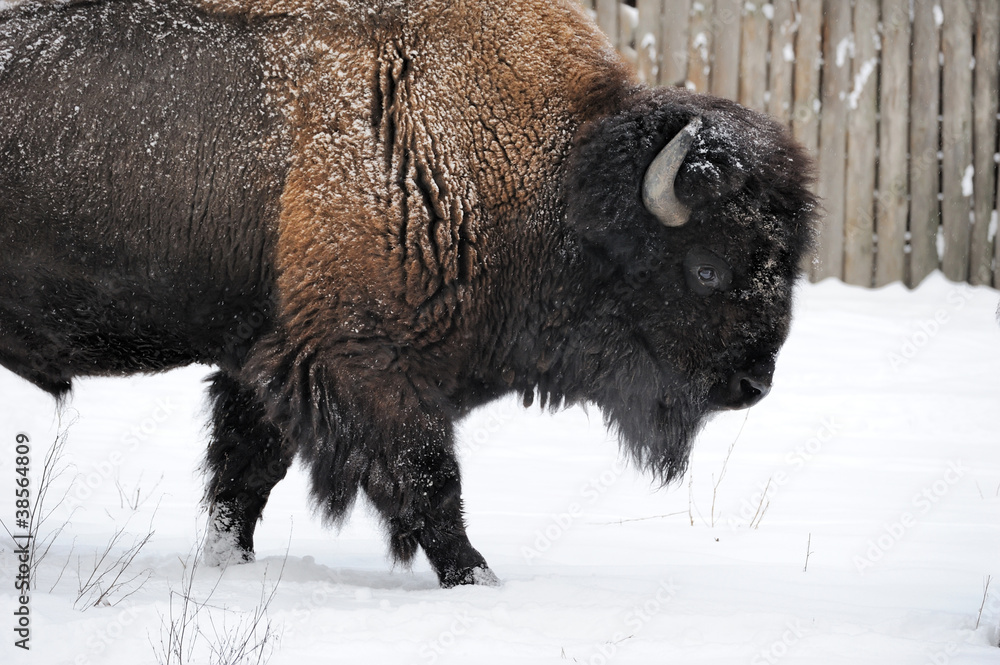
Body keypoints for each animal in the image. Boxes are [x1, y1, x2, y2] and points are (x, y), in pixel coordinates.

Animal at [0, 0, 812, 584]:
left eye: (785, 262)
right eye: (706, 268)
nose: (754, 383)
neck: (553, 180)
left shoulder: (265, 361)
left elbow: (243, 475)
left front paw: (232, 565)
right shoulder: (366, 365)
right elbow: (428, 477)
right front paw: (475, 576)